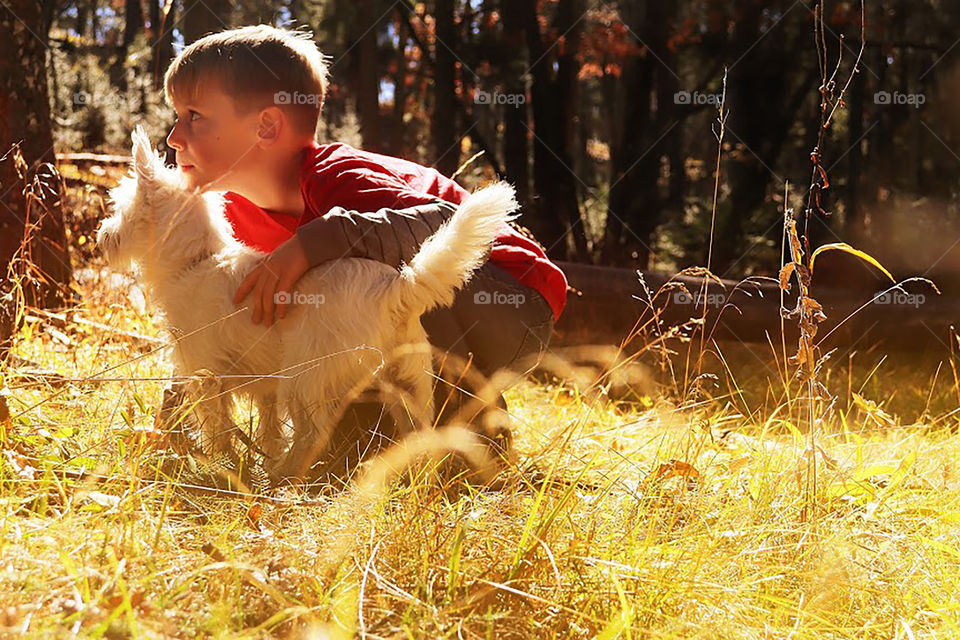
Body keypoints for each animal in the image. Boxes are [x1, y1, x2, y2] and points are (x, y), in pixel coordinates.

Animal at [97, 126, 516, 480]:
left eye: (117, 206)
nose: (101, 235)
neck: (197, 260)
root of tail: (395, 287)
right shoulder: (263, 386)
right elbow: (268, 427)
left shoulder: (205, 374)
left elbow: (218, 426)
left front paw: (219, 465)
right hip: (410, 383)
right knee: (418, 434)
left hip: (304, 378)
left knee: (314, 434)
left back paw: (285, 477)